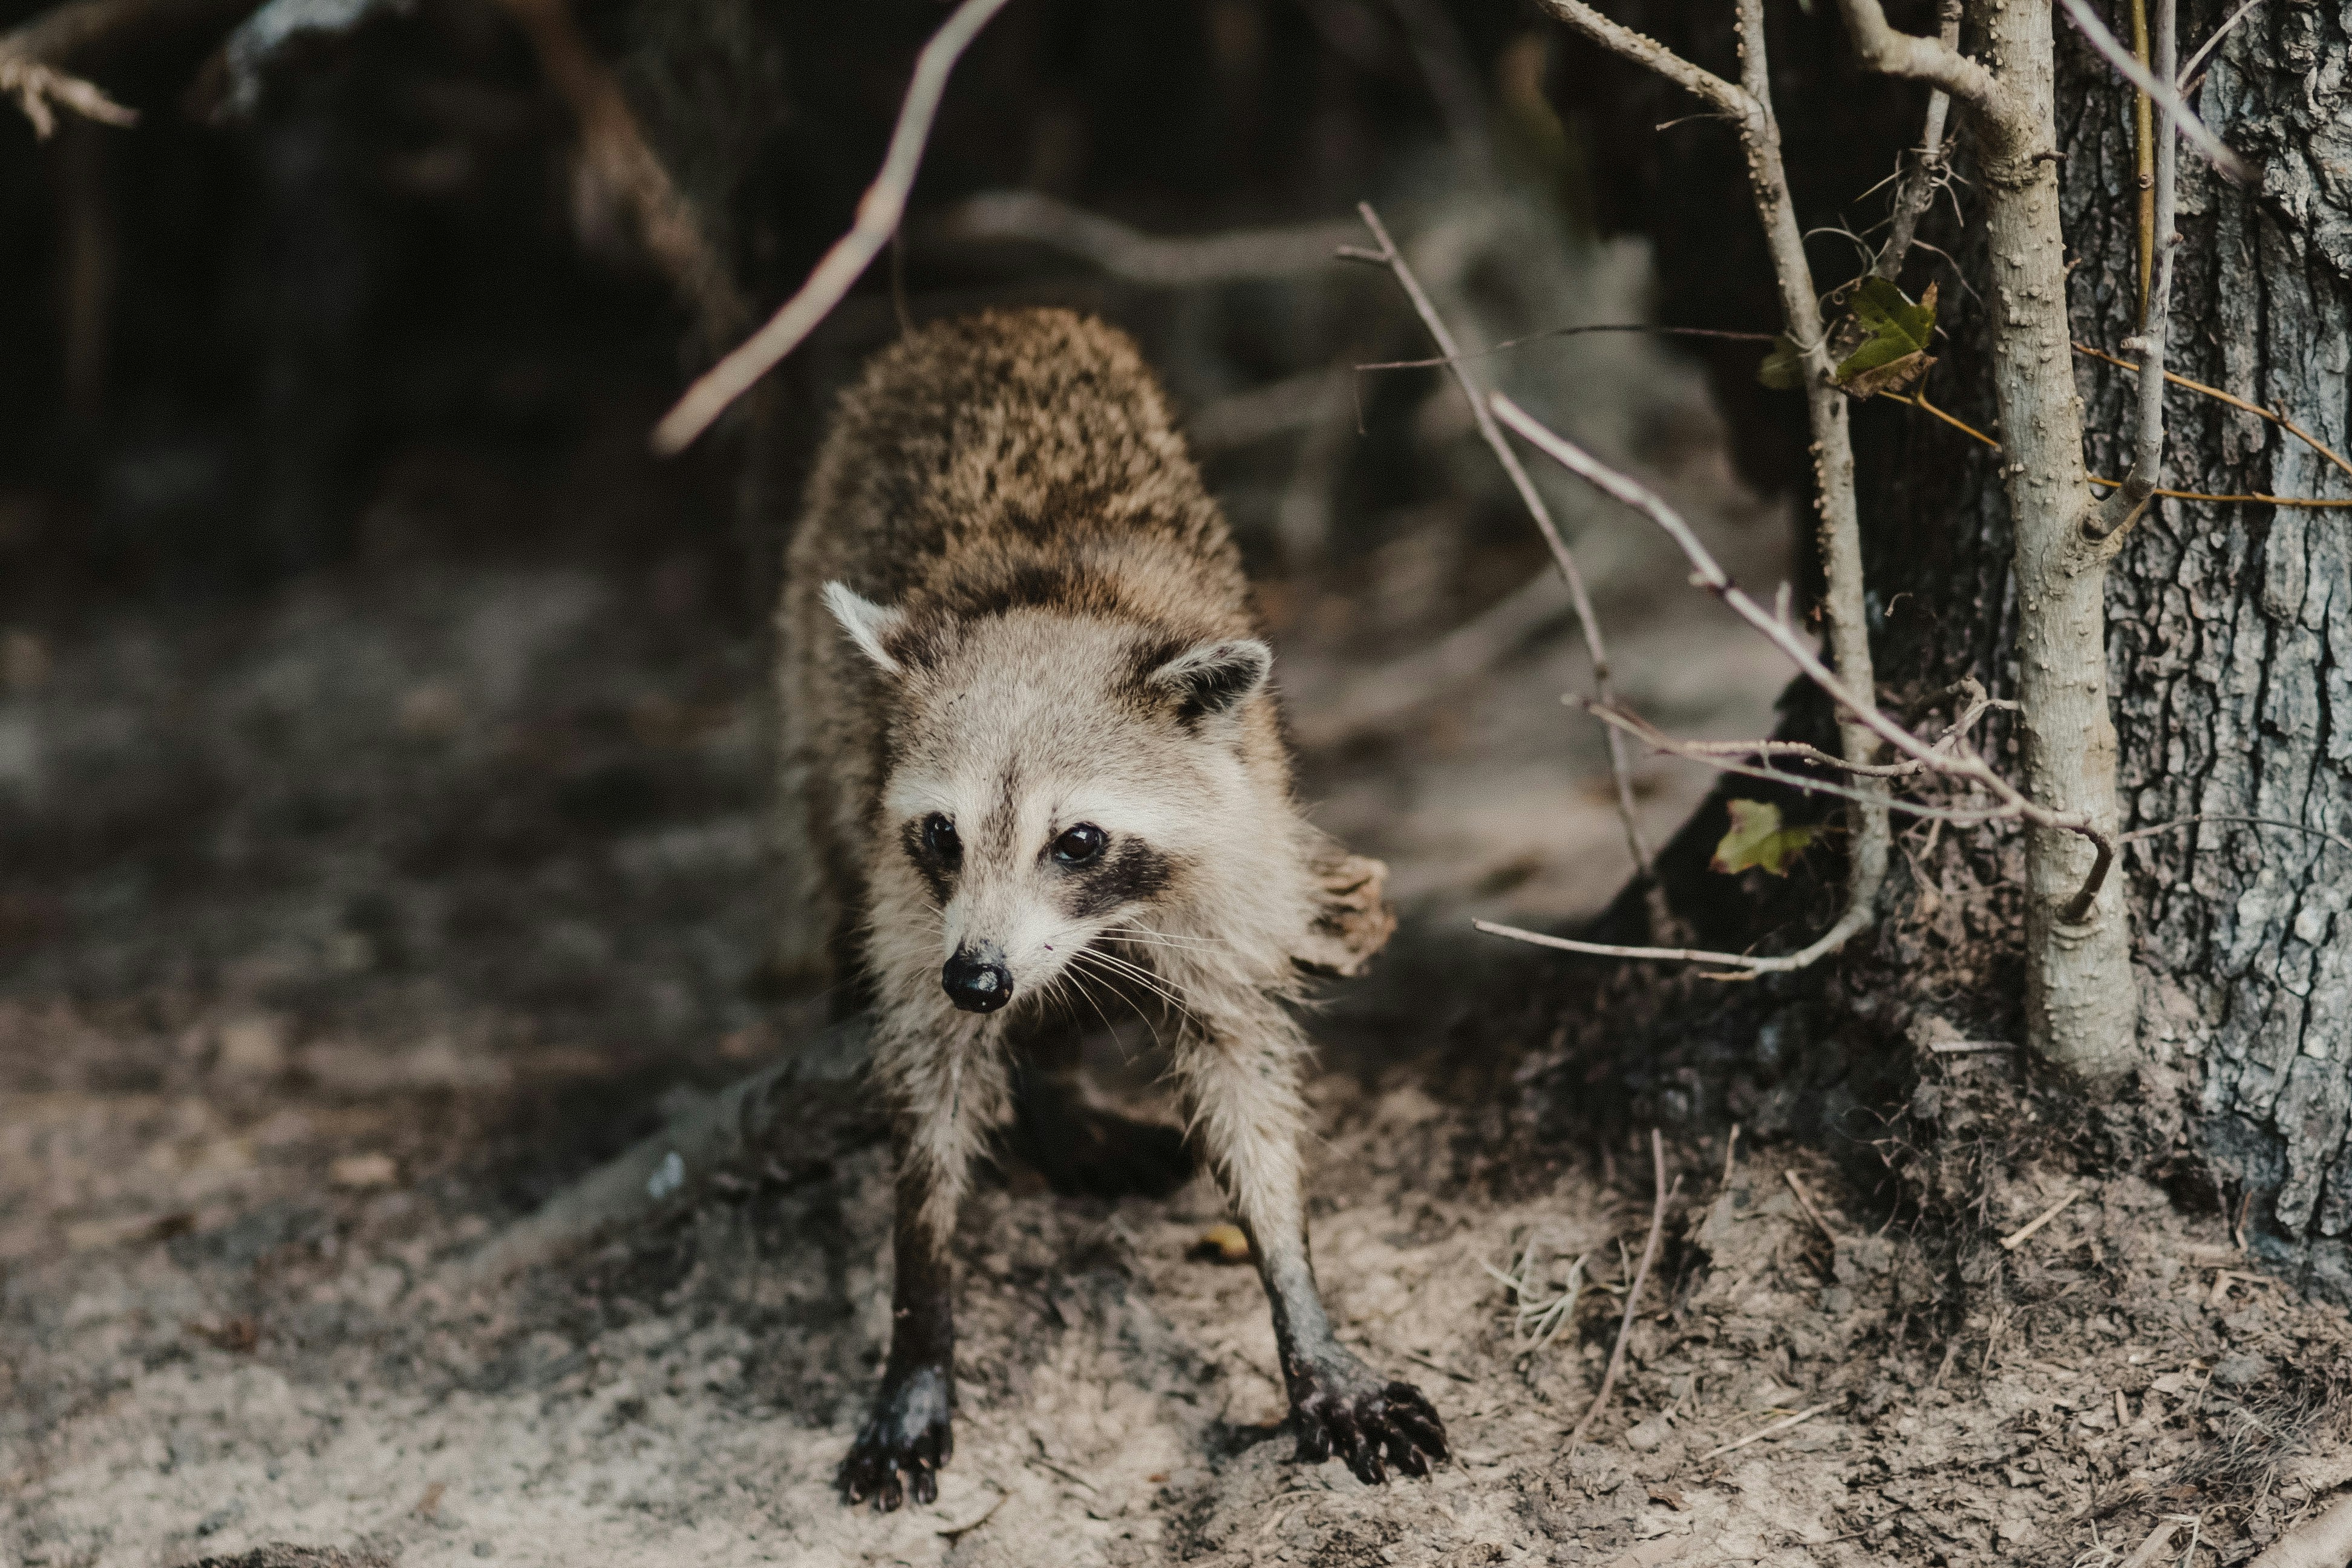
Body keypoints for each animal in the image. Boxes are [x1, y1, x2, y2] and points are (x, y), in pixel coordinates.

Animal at [778, 308, 1446, 1510]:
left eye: (1078, 841)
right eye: (942, 833)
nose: (979, 977)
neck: (1058, 605)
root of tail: (986, 315)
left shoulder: (1235, 862)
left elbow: (1248, 1088)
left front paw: (1301, 1301)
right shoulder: (916, 899)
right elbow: (928, 1104)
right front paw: (920, 1317)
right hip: (813, 677)